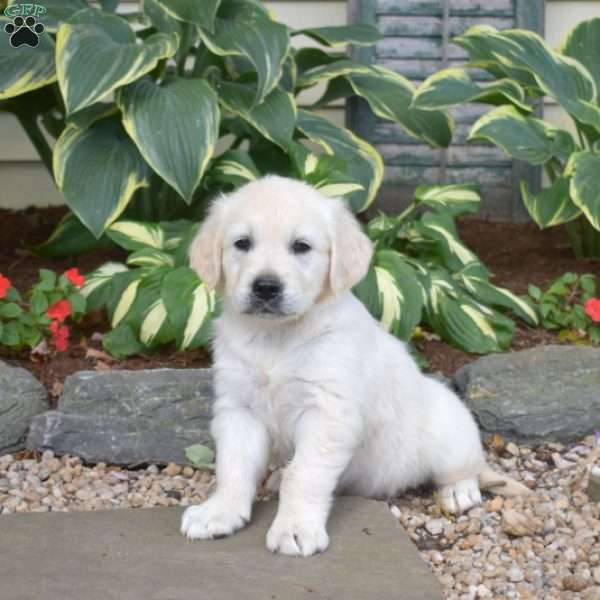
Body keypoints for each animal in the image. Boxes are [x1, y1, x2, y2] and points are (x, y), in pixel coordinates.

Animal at [179, 175, 528, 556]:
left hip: (450, 438)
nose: (266, 287)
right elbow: (233, 466)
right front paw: (219, 512)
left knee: (465, 469)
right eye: (242, 243)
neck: (276, 338)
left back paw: (459, 491)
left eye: (301, 246)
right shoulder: (239, 409)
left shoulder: (327, 412)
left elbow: (304, 474)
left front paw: (295, 528)